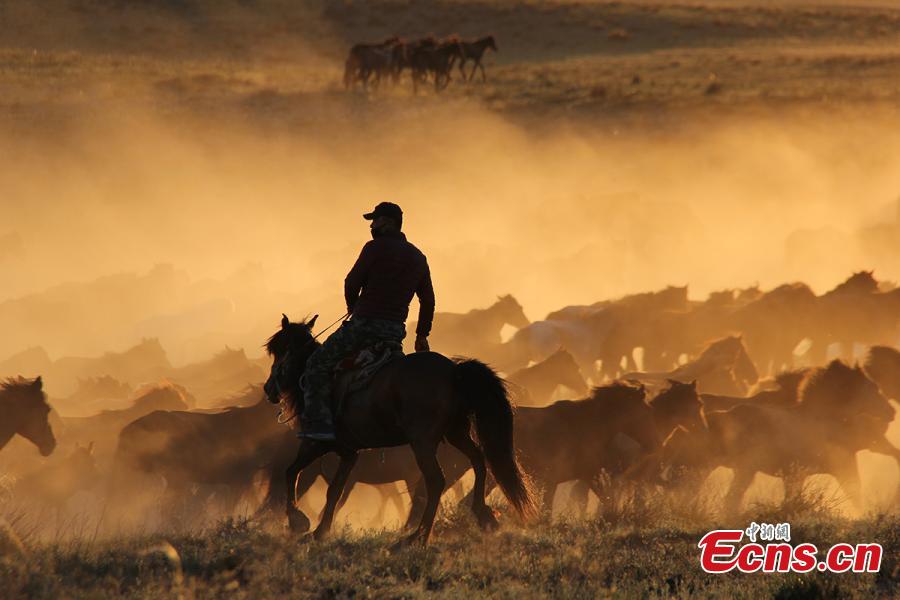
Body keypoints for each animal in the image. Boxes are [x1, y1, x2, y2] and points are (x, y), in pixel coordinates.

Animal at [262, 314, 536, 548]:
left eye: (278, 351)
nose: (268, 389)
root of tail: (454, 371)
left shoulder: (315, 443)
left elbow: (291, 472)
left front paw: (298, 521)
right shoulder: (349, 452)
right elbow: (334, 491)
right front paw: (320, 531)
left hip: (423, 442)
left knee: (435, 481)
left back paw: (418, 537)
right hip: (456, 432)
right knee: (479, 460)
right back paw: (482, 514)